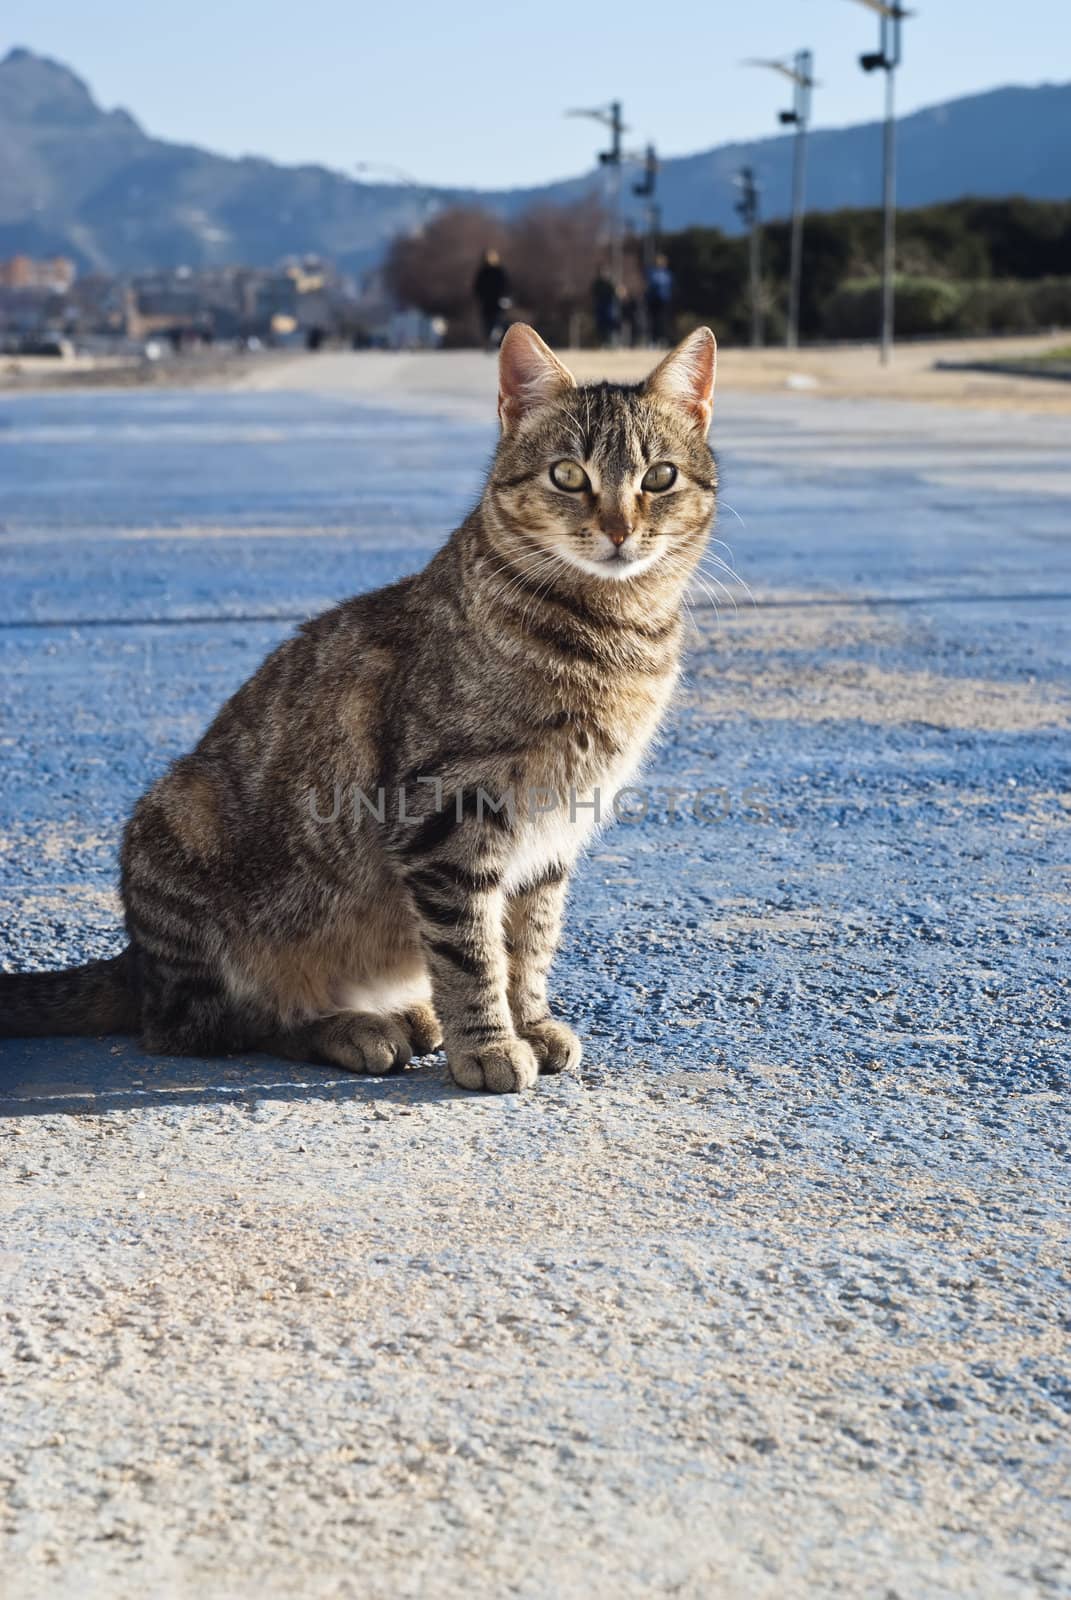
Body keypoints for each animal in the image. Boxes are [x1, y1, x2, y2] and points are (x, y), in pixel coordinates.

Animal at [4, 329, 717, 1094]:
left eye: (659, 478)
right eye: (567, 475)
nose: (618, 528)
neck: (615, 632)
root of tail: (135, 961)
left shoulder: (553, 836)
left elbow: (527, 943)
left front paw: (529, 1021)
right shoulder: (447, 815)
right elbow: (471, 952)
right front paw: (488, 1045)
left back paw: (406, 1015)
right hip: (179, 825)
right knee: (213, 1026)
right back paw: (351, 1028)